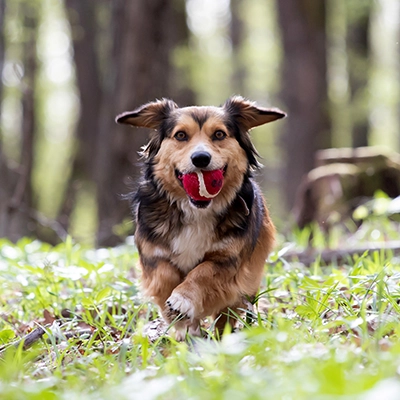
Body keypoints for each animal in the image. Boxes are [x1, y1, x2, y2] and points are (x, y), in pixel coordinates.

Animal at [115, 95, 284, 340]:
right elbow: (165, 275)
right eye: (180, 135)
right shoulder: (152, 254)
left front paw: (182, 299)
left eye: (219, 134)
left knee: (228, 313)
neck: (196, 210)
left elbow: (202, 273)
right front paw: (178, 315)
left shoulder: (228, 260)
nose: (201, 158)